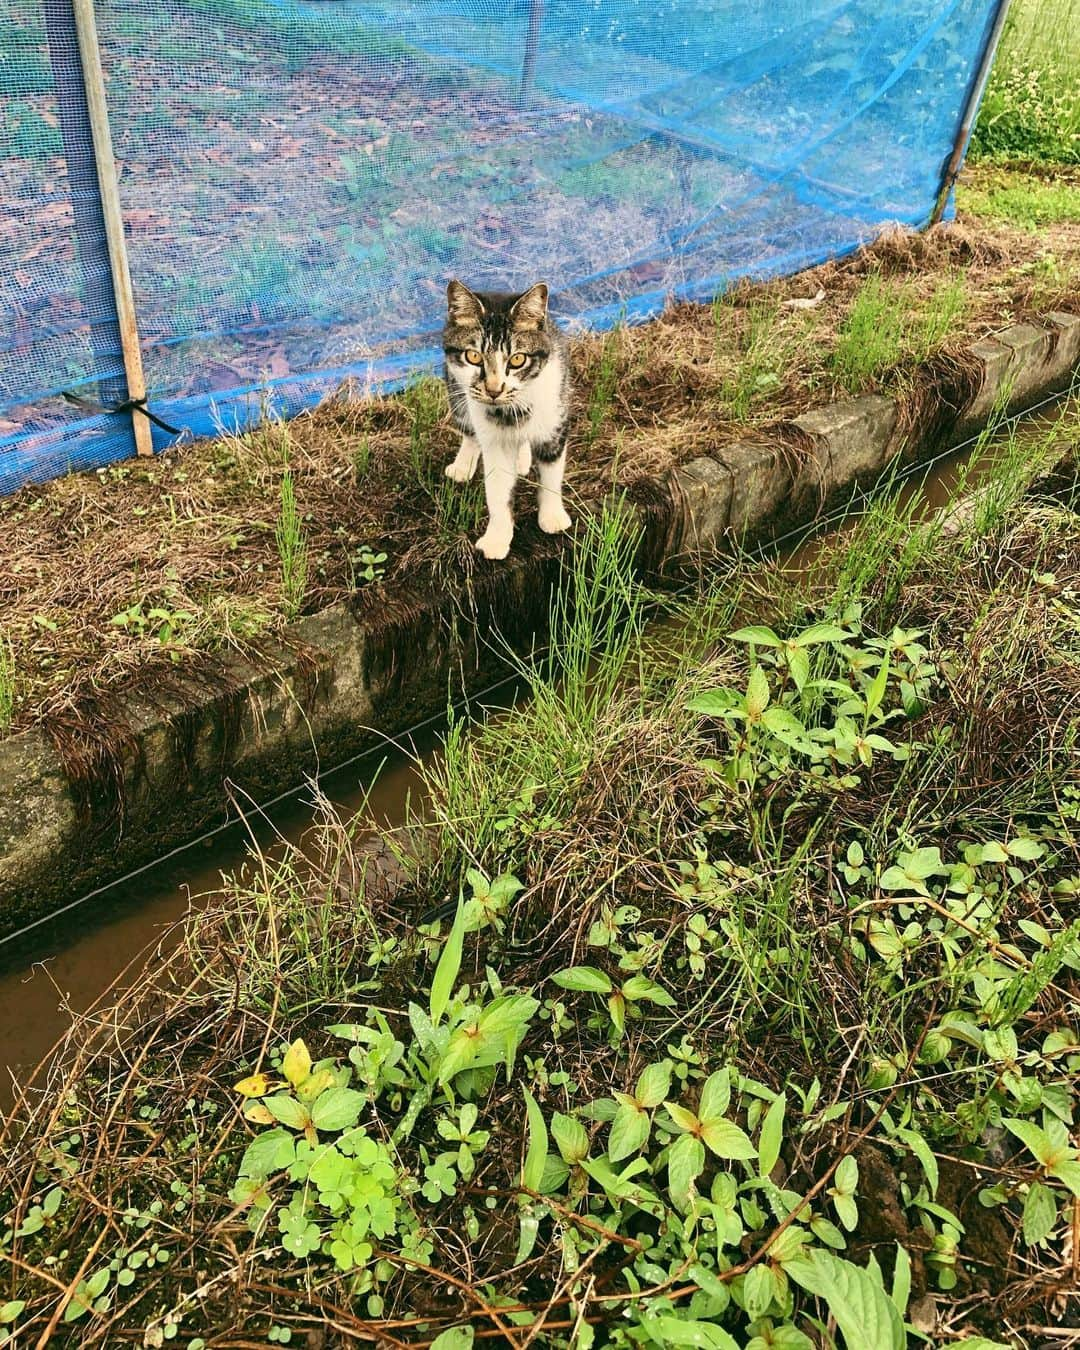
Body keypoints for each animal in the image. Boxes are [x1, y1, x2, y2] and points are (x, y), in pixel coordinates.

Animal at [440, 279, 572, 558]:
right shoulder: (494, 441)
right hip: (455, 391)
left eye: (518, 359)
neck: (513, 409)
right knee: (469, 431)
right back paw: (463, 466)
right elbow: (498, 490)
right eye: (473, 356)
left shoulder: (555, 423)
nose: (493, 390)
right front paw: (497, 539)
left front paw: (553, 517)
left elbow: (551, 475)